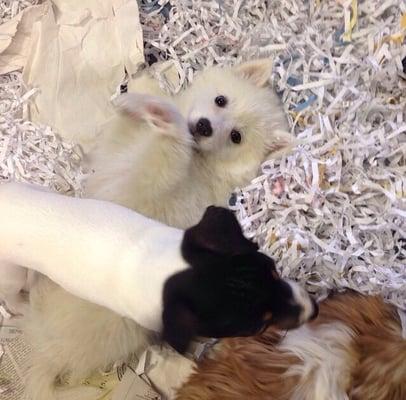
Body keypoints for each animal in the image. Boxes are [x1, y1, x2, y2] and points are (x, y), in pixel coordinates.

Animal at [0, 182, 318, 354]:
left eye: (273, 269)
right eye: (256, 327)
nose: (314, 310)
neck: (163, 270)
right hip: (10, 272)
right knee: (12, 294)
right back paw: (22, 306)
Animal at [22, 60, 294, 400]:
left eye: (236, 137)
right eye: (221, 100)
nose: (203, 126)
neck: (205, 163)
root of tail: (50, 356)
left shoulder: (153, 182)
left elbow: (163, 157)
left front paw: (163, 116)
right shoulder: (119, 149)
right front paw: (144, 91)